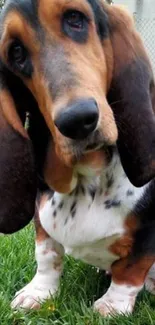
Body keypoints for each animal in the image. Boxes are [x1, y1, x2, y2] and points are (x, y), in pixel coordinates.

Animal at [0, 0, 155, 316]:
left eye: (75, 19)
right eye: (16, 52)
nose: (78, 120)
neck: (88, 177)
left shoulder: (148, 231)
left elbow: (131, 270)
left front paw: (111, 307)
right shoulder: (41, 217)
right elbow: (47, 254)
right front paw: (38, 293)